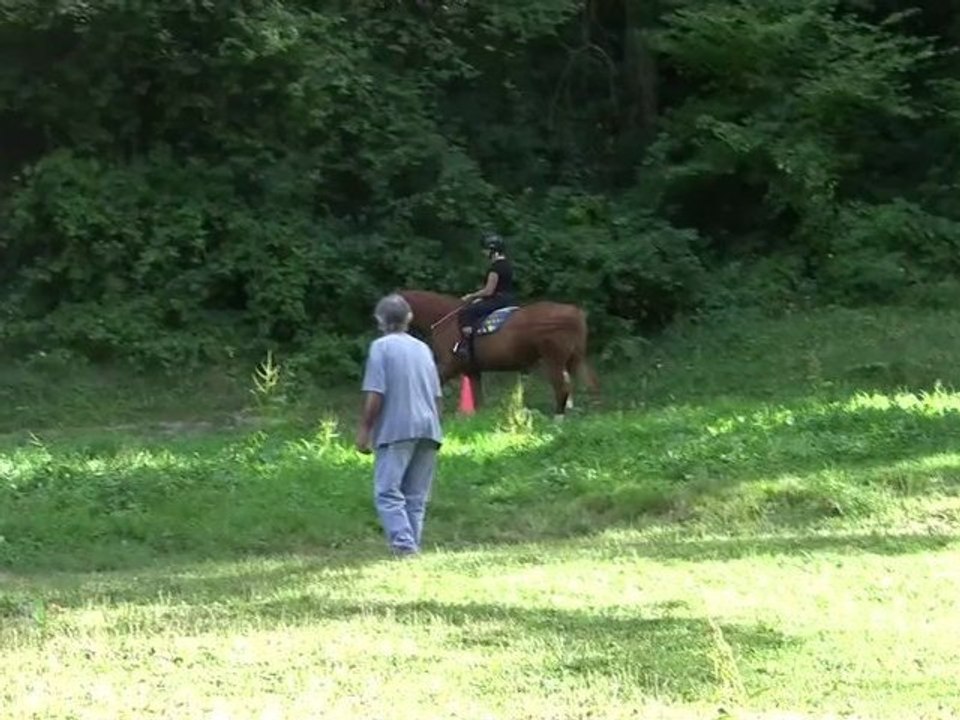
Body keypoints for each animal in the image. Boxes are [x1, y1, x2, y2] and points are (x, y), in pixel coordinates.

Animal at [398, 289, 599, 419]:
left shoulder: (449, 366)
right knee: (586, 385)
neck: (445, 319)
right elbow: (478, 398)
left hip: (553, 361)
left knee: (562, 388)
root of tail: (574, 311)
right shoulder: (472, 370)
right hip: (572, 360)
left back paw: (558, 418)